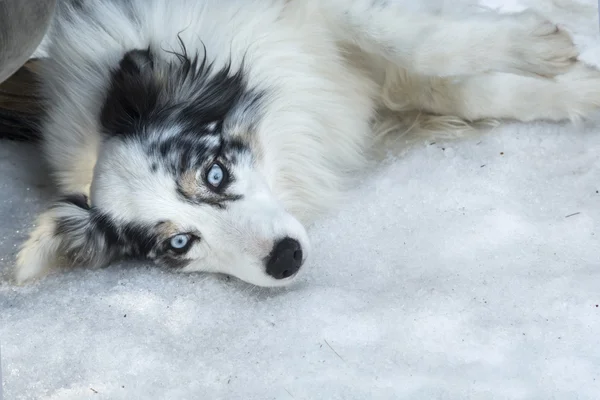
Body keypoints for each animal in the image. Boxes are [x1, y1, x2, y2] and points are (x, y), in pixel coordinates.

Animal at [7, 0, 600, 288]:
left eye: (215, 172)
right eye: (178, 244)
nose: (285, 260)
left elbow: (412, 43)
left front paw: (541, 49)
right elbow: (465, 91)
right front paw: (578, 89)